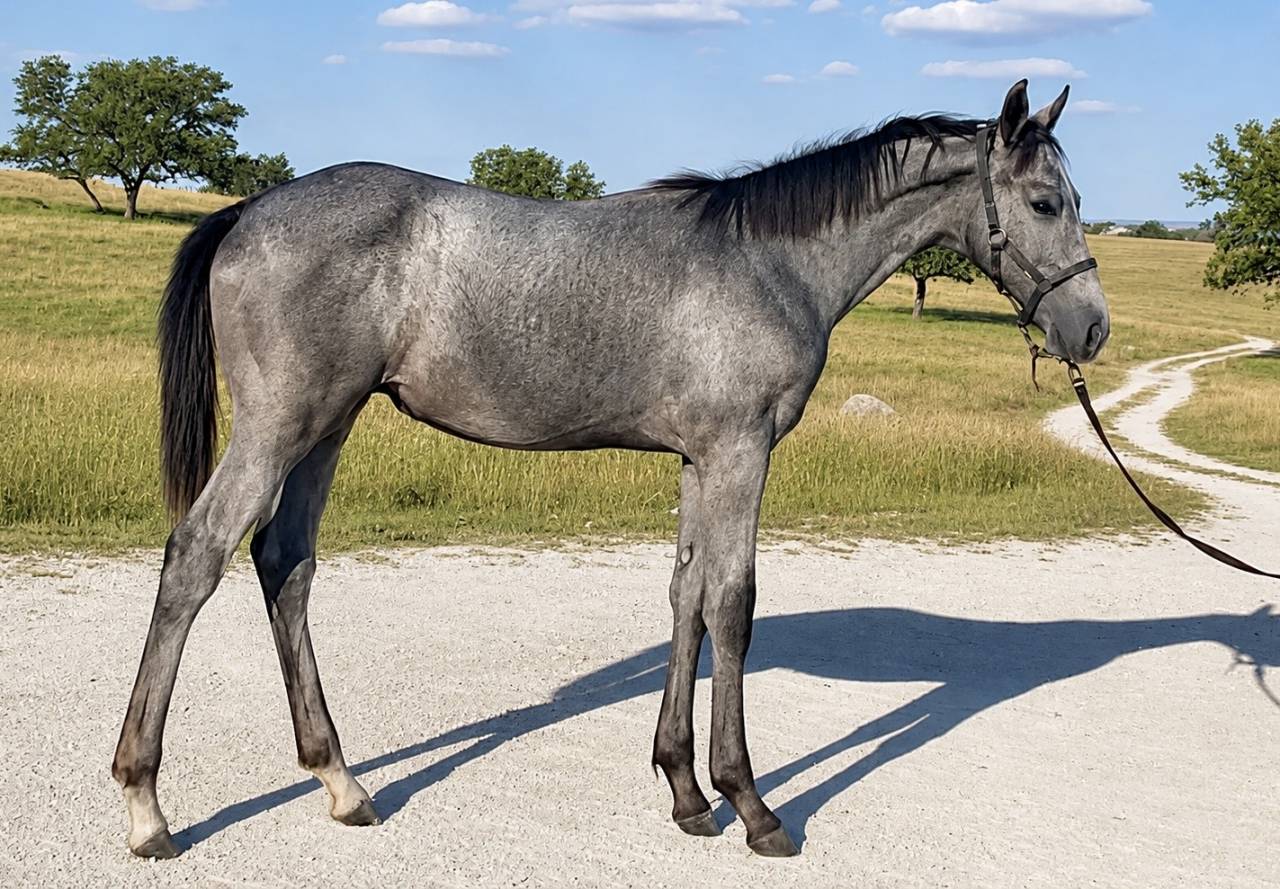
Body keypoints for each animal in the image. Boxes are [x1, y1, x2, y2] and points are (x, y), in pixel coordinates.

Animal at [112, 79, 1110, 859]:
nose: (1092, 329)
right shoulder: (740, 453)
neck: (770, 261)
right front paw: (750, 803)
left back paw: (341, 782)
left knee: (285, 563)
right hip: (279, 426)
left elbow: (687, 597)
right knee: (196, 556)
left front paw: (683, 789)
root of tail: (250, 209)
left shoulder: (702, 461)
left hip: (327, 427)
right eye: (1046, 204)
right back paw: (146, 802)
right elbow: (734, 607)